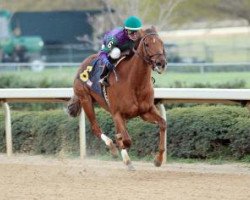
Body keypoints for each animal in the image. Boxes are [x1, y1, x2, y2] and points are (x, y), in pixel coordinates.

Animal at [67, 26, 167, 170]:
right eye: (147, 44)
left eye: (161, 43)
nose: (161, 63)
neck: (134, 83)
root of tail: (82, 65)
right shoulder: (117, 113)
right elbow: (126, 140)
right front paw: (120, 146)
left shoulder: (146, 111)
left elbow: (163, 124)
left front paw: (158, 160)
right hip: (86, 100)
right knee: (96, 128)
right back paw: (113, 148)